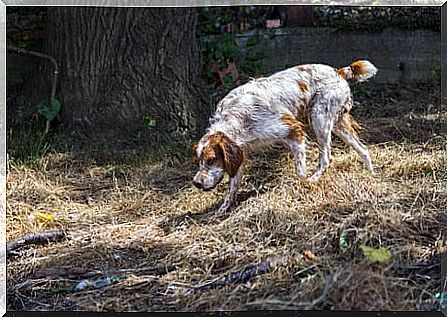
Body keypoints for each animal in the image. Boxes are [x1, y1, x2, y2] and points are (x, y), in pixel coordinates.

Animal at [192, 59, 378, 212]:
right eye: (198, 161)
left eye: (211, 159)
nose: (197, 183)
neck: (237, 118)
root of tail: (338, 71)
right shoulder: (240, 150)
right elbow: (233, 185)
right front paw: (224, 207)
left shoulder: (293, 130)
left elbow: (300, 171)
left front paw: (304, 185)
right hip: (337, 124)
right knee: (363, 149)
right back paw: (371, 174)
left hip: (319, 118)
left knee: (326, 159)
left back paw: (315, 178)